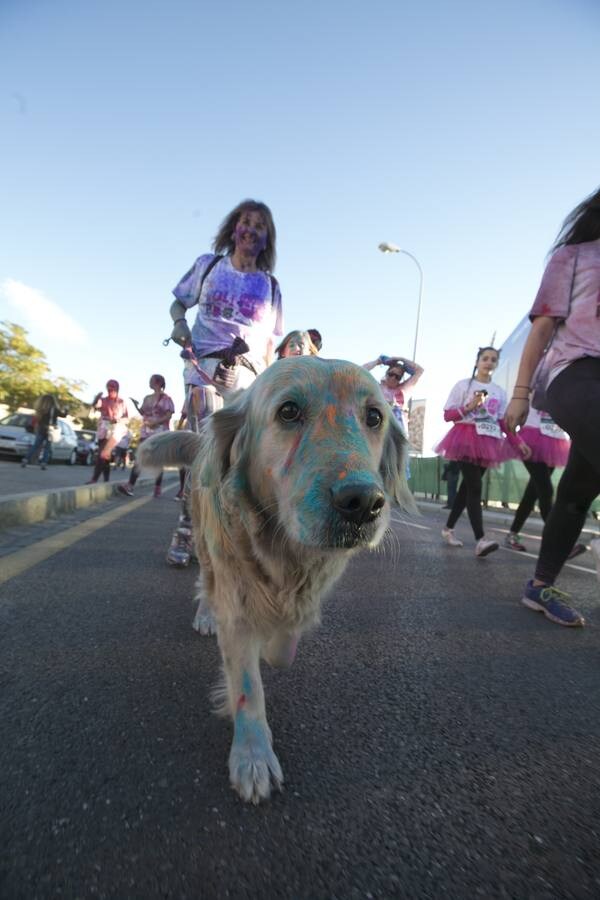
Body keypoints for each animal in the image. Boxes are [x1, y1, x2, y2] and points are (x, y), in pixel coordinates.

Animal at [138, 356, 414, 804]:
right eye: (288, 411)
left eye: (374, 417)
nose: (363, 503)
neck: (283, 550)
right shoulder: (235, 602)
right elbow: (248, 686)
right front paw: (252, 756)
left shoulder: (305, 592)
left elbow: (284, 643)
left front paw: (274, 646)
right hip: (204, 544)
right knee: (205, 583)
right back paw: (205, 614)